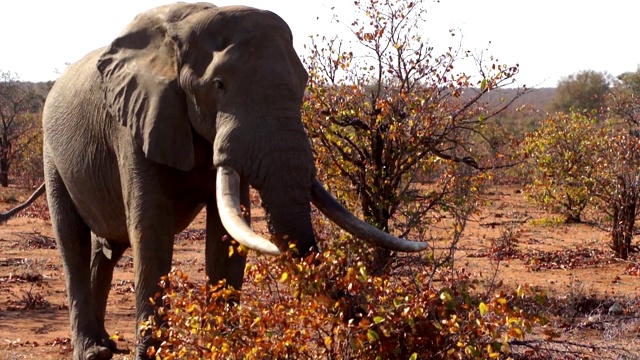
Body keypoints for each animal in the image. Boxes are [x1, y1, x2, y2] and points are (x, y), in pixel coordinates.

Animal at [3, 2, 424, 360]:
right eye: (218, 85)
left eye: (304, 83)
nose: (391, 336)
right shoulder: (137, 120)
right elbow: (151, 230)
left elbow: (227, 236)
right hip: (51, 152)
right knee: (72, 240)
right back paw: (92, 351)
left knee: (105, 248)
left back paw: (105, 343)